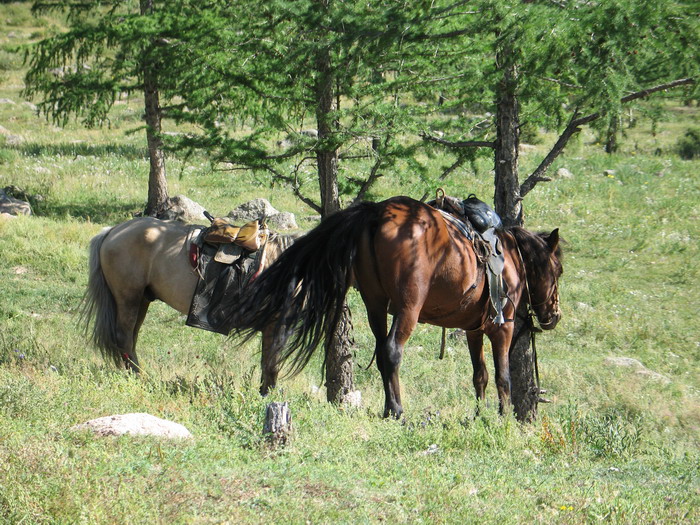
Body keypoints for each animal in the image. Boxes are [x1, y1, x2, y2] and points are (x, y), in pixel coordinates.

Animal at [80, 216, 300, 393]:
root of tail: (112, 231)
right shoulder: (277, 324)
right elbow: (272, 363)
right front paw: (267, 395)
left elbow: (267, 361)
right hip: (128, 297)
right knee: (124, 337)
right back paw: (139, 378)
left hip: (141, 300)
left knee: (131, 338)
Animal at [216, 196, 562, 418]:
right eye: (558, 270)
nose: (553, 315)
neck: (511, 261)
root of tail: (375, 213)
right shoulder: (502, 327)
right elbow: (503, 375)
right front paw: (504, 417)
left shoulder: (473, 330)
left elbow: (481, 375)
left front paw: (480, 415)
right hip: (408, 308)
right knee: (393, 351)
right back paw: (398, 410)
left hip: (376, 305)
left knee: (383, 353)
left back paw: (388, 408)